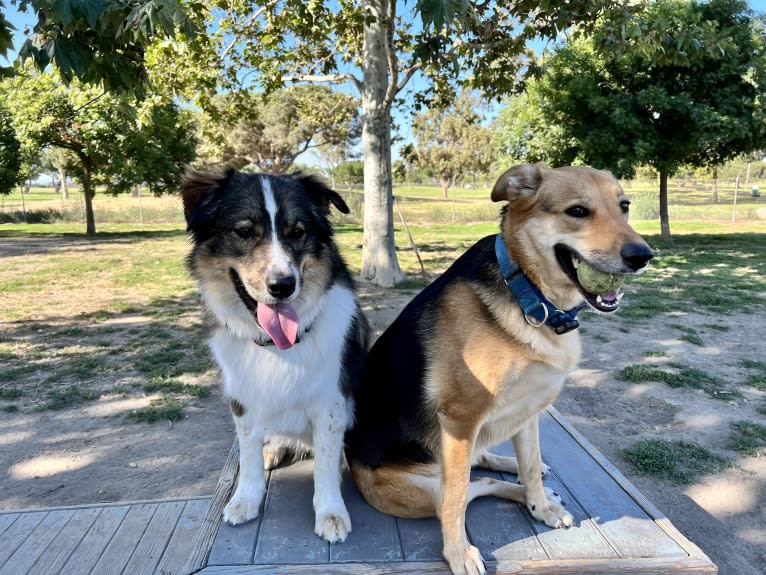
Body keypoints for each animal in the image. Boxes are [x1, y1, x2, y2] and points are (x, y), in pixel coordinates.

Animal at [182, 171, 370, 544]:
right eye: (243, 232)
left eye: (297, 232)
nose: (283, 286)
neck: (277, 346)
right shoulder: (243, 398)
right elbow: (248, 453)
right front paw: (246, 499)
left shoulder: (331, 402)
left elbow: (326, 463)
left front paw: (330, 512)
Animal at [346, 164, 656, 572]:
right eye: (577, 211)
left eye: (624, 206)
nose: (643, 256)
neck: (527, 291)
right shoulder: (461, 418)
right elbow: (456, 501)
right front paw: (458, 553)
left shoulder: (529, 410)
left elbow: (531, 463)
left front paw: (540, 505)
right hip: (421, 489)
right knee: (466, 490)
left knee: (484, 474)